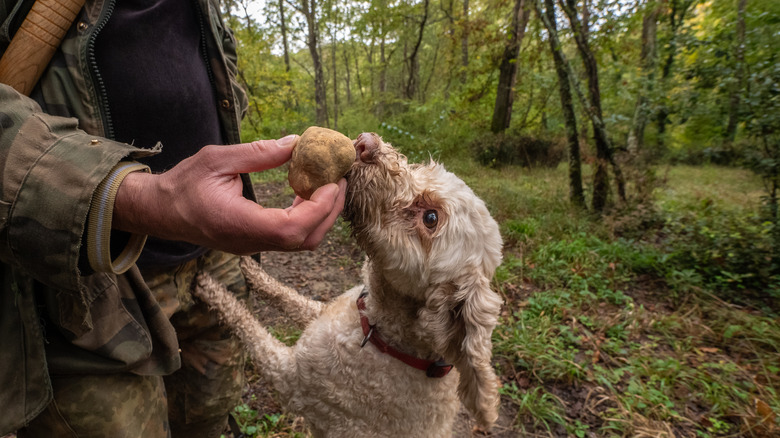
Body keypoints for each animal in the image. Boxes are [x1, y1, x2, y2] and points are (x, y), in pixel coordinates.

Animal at [192, 132, 502, 436]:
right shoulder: (323, 312)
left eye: (431, 218)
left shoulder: (291, 378)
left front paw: (210, 288)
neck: (377, 332)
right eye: (420, 169)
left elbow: (248, 327)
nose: (366, 143)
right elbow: (286, 295)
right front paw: (249, 269)